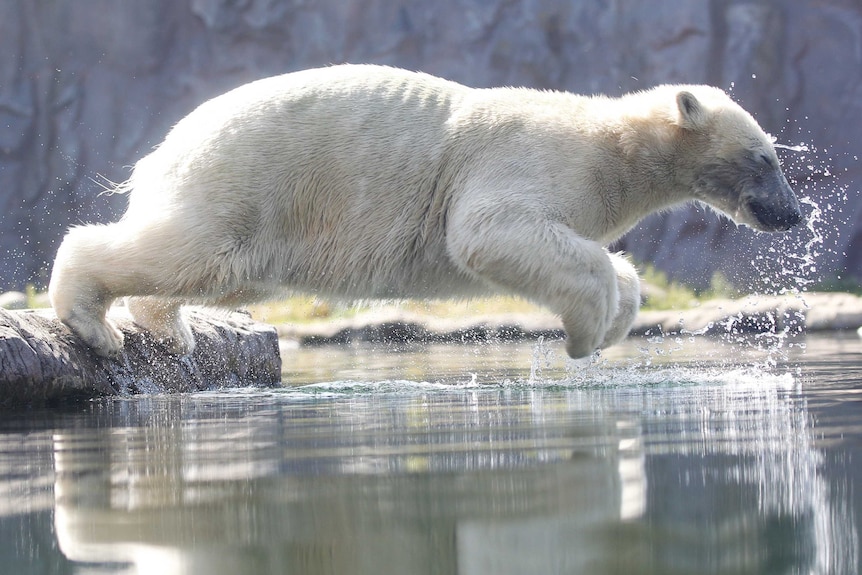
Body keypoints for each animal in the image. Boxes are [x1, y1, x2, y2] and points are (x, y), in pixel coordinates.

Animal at [47, 64, 804, 360]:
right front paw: (586, 333)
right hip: (247, 178)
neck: (609, 143)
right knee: (187, 248)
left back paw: (170, 329)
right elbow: (490, 230)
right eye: (765, 158)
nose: (792, 216)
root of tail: (165, 147)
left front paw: (617, 315)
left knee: (217, 272)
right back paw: (95, 324)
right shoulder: (529, 159)